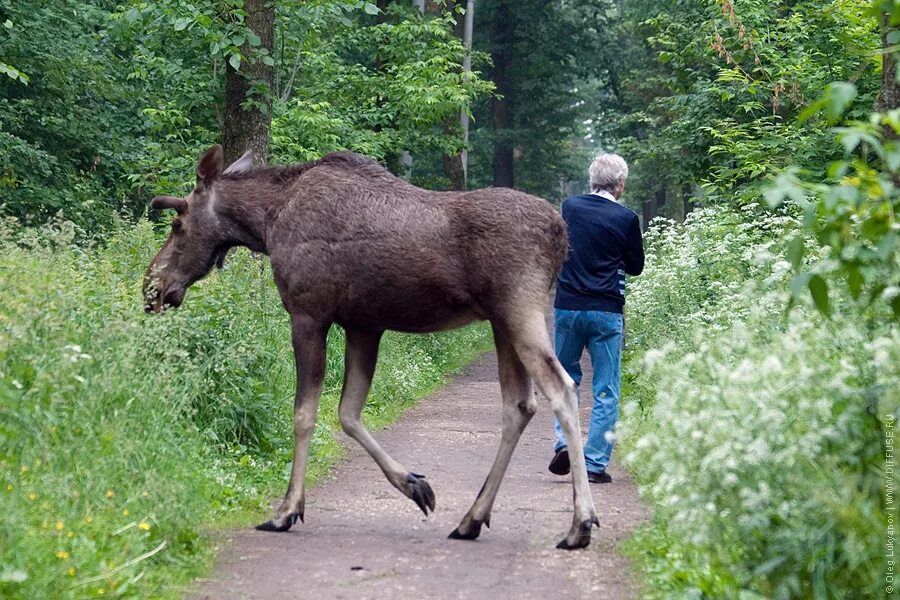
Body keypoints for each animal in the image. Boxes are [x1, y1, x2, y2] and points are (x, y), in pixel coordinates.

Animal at [144, 145, 600, 548]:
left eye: (177, 224)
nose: (152, 286)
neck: (267, 225)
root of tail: (560, 236)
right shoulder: (363, 325)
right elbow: (348, 413)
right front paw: (415, 484)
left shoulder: (308, 315)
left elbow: (305, 414)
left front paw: (286, 509)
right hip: (502, 324)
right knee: (519, 405)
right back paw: (472, 518)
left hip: (519, 309)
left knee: (563, 389)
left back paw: (580, 524)